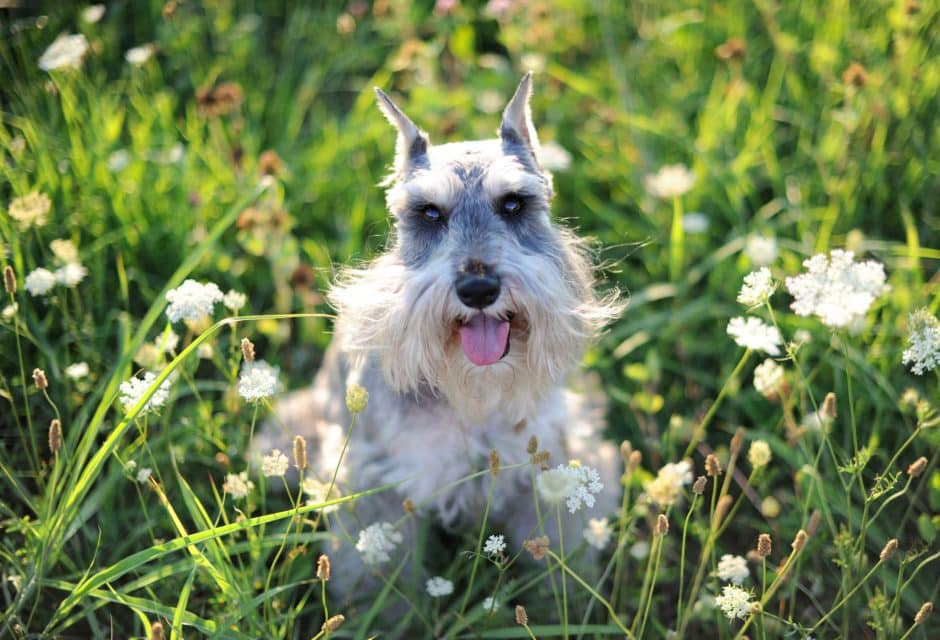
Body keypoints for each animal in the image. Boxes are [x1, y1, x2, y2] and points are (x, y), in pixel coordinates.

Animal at [258, 75, 624, 600]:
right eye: (429, 213)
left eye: (514, 203)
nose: (478, 289)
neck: (471, 392)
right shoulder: (377, 481)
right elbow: (377, 576)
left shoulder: (545, 462)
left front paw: (565, 601)